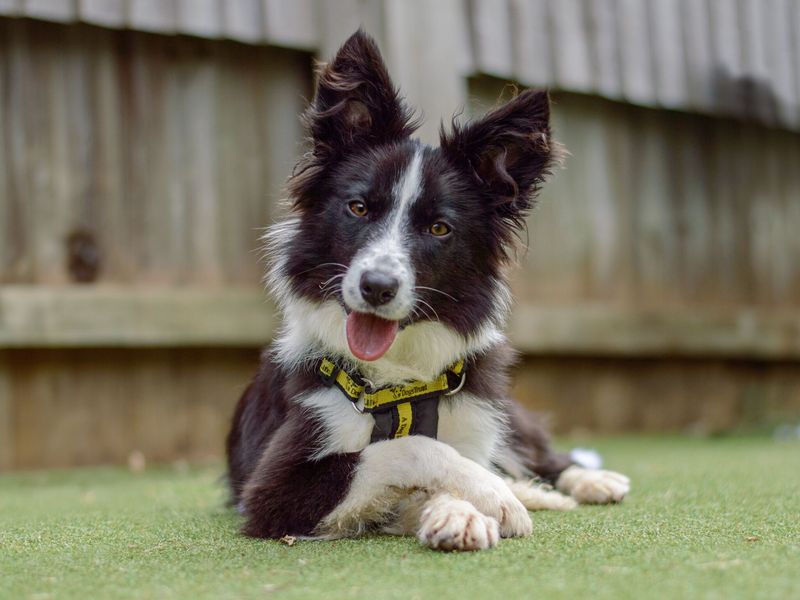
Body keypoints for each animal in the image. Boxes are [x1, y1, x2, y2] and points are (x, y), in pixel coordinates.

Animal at [223, 30, 624, 552]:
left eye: (439, 228)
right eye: (358, 207)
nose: (376, 287)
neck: (400, 386)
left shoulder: (473, 414)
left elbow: (433, 451)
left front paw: (468, 505)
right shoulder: (273, 489)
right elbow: (412, 448)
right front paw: (485, 499)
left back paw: (588, 481)